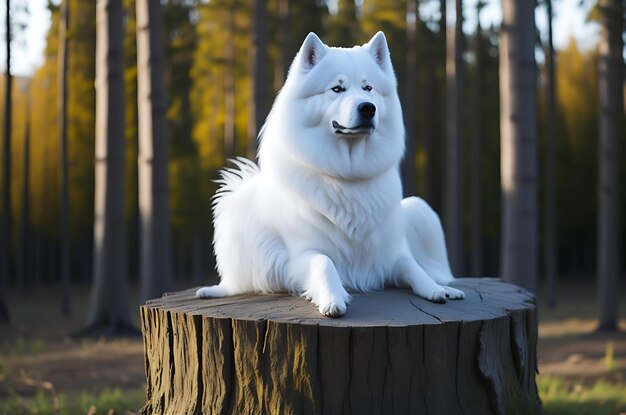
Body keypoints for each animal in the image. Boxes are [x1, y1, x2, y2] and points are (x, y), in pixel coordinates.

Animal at [196, 31, 464, 318]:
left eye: (368, 88)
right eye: (337, 89)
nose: (368, 108)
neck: (347, 173)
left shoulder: (389, 255)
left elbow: (414, 268)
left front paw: (435, 289)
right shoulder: (300, 255)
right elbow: (324, 262)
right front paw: (333, 299)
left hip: (420, 209)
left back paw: (448, 288)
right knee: (234, 283)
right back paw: (212, 290)